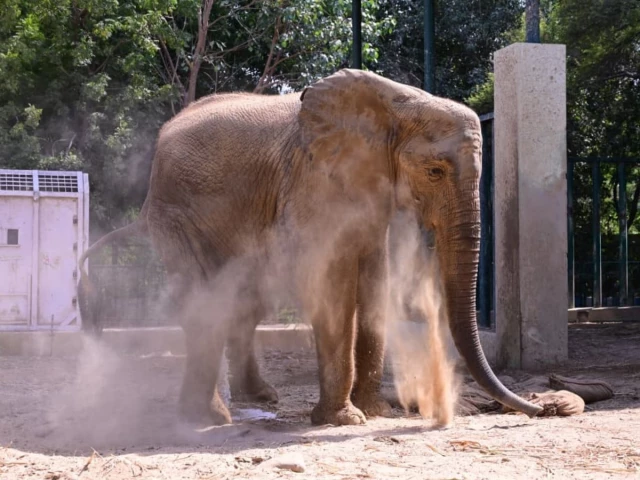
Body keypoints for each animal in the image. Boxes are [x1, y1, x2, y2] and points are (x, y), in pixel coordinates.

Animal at [78, 68, 543, 427]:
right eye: (434, 171)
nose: (539, 409)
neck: (397, 103)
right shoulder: (314, 182)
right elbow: (330, 281)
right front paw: (345, 420)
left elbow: (375, 278)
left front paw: (375, 413)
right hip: (176, 216)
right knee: (203, 301)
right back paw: (208, 419)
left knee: (242, 300)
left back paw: (260, 399)